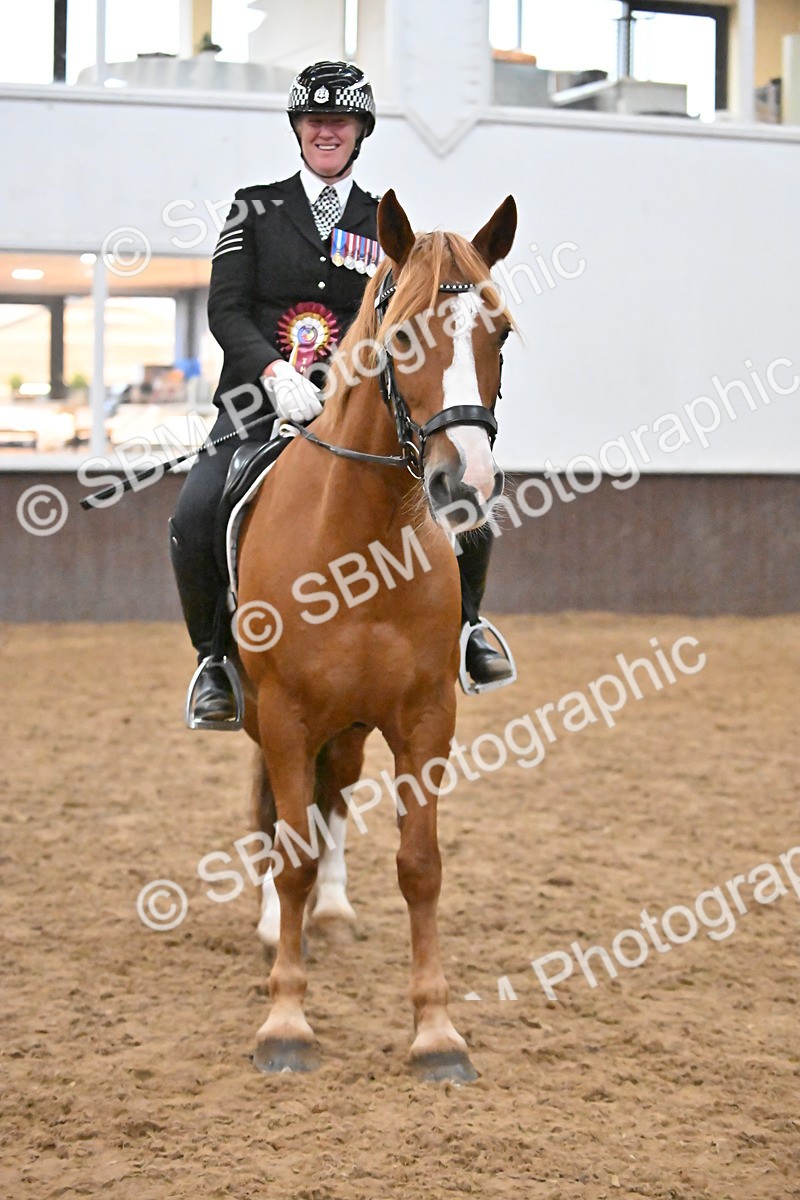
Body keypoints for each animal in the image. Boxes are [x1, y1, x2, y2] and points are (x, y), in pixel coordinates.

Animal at [236, 189, 517, 1082]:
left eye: (499, 333)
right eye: (402, 337)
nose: (467, 485)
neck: (360, 544)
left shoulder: (425, 717)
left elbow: (420, 866)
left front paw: (436, 1032)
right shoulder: (286, 713)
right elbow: (288, 849)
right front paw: (286, 1022)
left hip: (353, 725)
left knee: (330, 796)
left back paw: (330, 911)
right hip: (266, 714)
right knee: (276, 813)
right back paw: (276, 925)